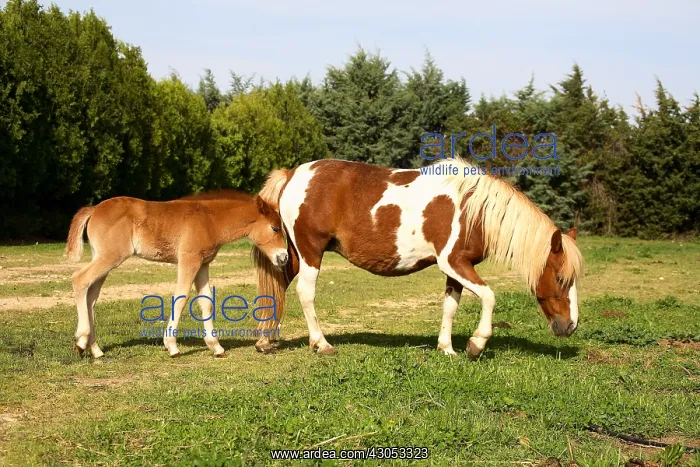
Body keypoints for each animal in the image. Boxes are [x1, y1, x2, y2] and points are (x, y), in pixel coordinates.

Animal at [65, 191, 288, 359]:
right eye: (275, 228)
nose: (284, 257)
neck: (209, 220)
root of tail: (94, 209)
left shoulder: (203, 264)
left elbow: (206, 301)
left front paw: (216, 347)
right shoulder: (189, 260)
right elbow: (181, 297)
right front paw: (172, 346)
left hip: (103, 258)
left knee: (91, 296)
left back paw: (94, 349)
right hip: (111, 257)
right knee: (80, 280)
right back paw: (81, 340)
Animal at [251, 158, 583, 359]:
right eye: (561, 278)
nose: (570, 326)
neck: (474, 209)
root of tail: (293, 174)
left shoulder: (456, 269)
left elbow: (450, 306)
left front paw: (447, 348)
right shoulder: (453, 263)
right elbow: (489, 296)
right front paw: (476, 344)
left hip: (295, 254)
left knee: (279, 287)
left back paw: (267, 340)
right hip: (311, 252)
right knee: (305, 293)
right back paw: (321, 343)